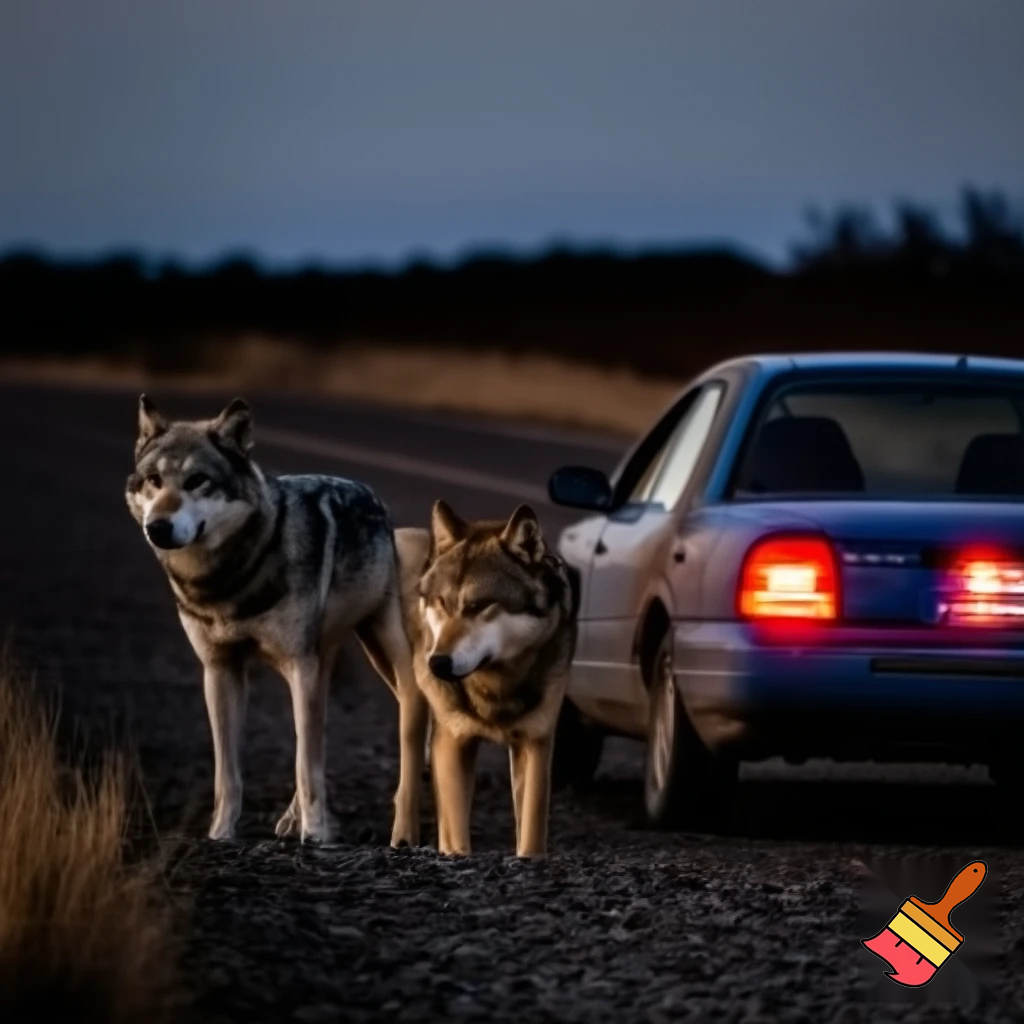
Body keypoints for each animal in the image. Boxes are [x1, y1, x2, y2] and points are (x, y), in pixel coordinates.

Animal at [124, 395, 428, 845]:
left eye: (197, 481)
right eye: (153, 481)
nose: (157, 527)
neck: (229, 578)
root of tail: (372, 495)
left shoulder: (300, 665)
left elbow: (306, 763)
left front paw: (316, 836)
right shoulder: (221, 670)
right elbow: (229, 774)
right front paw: (221, 835)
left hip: (383, 656)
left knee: (405, 718)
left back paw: (403, 832)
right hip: (323, 664)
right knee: (313, 736)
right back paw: (290, 819)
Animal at [395, 500, 576, 857]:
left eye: (478, 606)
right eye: (442, 603)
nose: (438, 663)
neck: (495, 689)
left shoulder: (536, 741)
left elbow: (531, 833)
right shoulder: (454, 740)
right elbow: (456, 839)